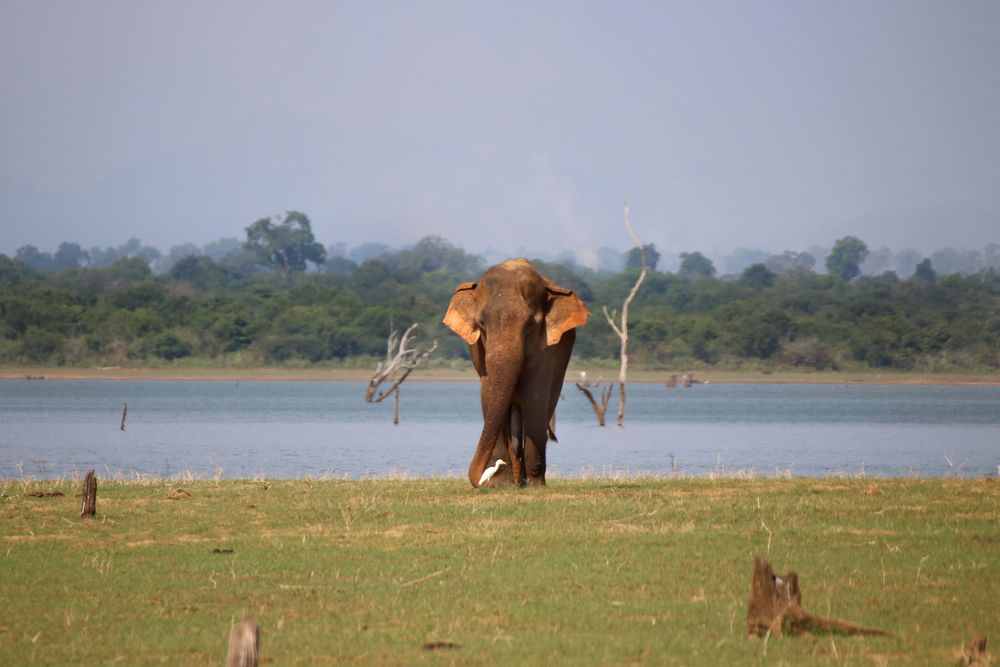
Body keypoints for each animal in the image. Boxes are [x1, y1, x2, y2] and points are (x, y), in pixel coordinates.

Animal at [444, 258, 584, 488]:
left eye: (531, 324)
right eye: (481, 324)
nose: (479, 479)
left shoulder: (547, 349)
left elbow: (535, 398)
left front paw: (536, 487)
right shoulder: (480, 354)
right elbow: (489, 396)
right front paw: (502, 484)